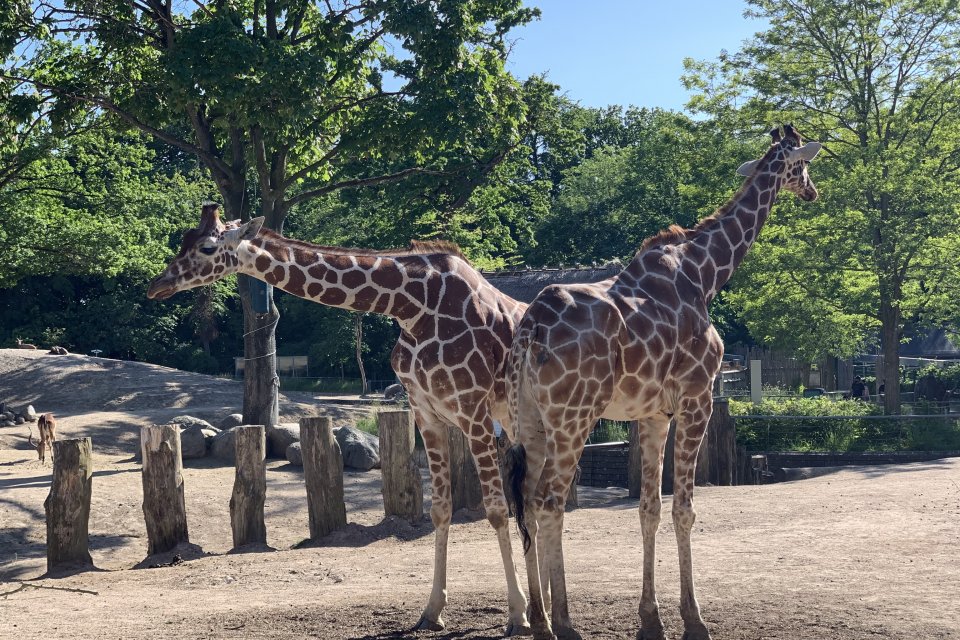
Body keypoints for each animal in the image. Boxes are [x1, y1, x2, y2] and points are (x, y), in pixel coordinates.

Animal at [146, 203, 533, 635]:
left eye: (208, 247)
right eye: (184, 239)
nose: (157, 285)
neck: (410, 306)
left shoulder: (473, 410)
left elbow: (496, 510)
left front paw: (518, 615)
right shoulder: (427, 412)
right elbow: (441, 510)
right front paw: (433, 611)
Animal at [504, 125, 822, 640]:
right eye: (803, 164)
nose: (812, 191)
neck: (706, 273)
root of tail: (530, 329)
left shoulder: (652, 413)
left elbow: (649, 509)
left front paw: (650, 620)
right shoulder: (697, 398)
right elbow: (684, 509)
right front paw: (694, 619)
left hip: (530, 420)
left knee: (529, 501)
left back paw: (540, 620)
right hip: (573, 417)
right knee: (551, 502)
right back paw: (565, 624)